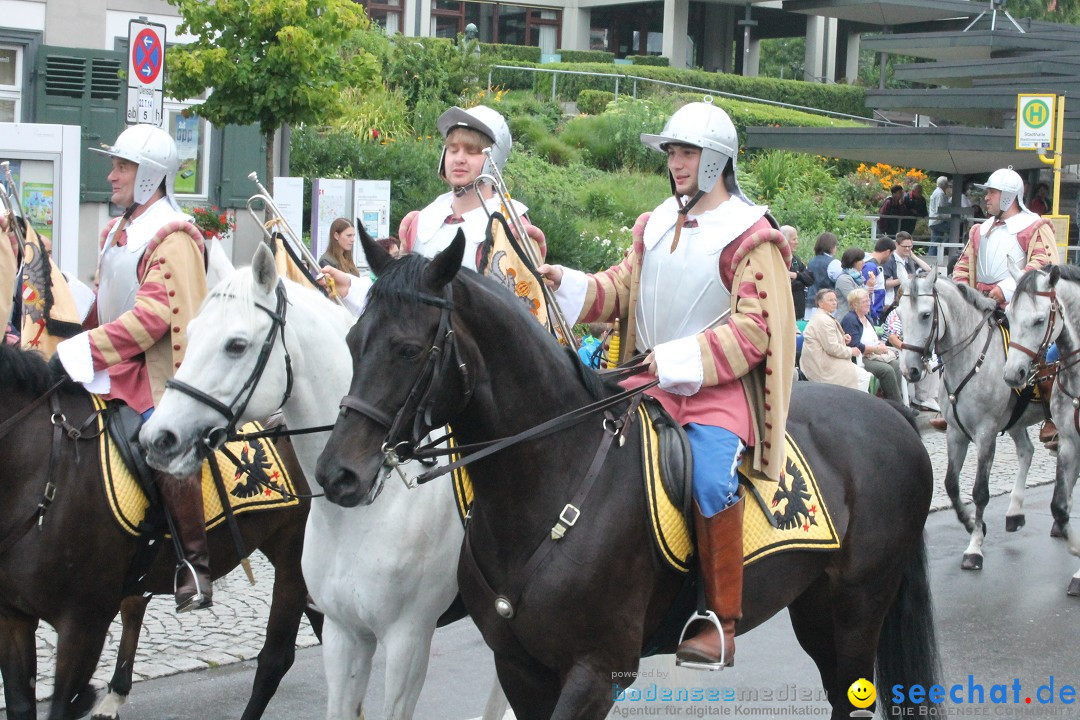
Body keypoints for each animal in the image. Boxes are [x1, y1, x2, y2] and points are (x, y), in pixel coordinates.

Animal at [0, 345, 317, 720]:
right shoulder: (12, 618)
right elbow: (21, 704)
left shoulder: (84, 623)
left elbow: (63, 706)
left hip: (294, 552)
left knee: (275, 658)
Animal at [139, 243, 505, 720]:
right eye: (193, 331)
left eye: (236, 345)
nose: (157, 438)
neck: (372, 507)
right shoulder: (342, 631)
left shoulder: (409, 641)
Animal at [315, 235, 941, 720]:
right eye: (351, 341)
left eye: (408, 349)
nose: (337, 473)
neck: (553, 478)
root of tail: (892, 415)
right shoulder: (519, 667)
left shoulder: (598, 670)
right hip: (815, 607)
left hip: (859, 608)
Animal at [902, 267, 1045, 569]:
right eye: (898, 311)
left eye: (925, 315)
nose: (909, 370)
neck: (972, 359)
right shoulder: (956, 433)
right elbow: (951, 485)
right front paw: (971, 525)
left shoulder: (985, 433)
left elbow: (980, 491)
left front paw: (974, 548)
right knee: (1027, 451)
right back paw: (1015, 513)